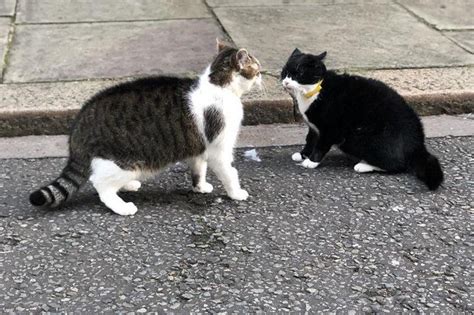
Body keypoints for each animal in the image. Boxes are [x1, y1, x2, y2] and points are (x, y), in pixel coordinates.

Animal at [29, 40, 262, 216]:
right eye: (257, 69)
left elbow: (198, 170)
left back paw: (128, 186)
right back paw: (122, 207)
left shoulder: (199, 148)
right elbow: (229, 173)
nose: (262, 75)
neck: (219, 85)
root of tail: (79, 124)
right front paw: (236, 193)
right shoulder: (219, 148)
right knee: (100, 184)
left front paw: (200, 187)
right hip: (127, 161)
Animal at [280, 48, 442, 191]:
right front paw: (303, 154)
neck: (314, 91)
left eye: (299, 73)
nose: (286, 82)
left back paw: (364, 165)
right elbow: (310, 140)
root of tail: (417, 143)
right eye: (285, 72)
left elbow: (321, 145)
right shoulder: (314, 128)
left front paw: (311, 161)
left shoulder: (331, 128)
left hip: (358, 138)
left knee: (398, 165)